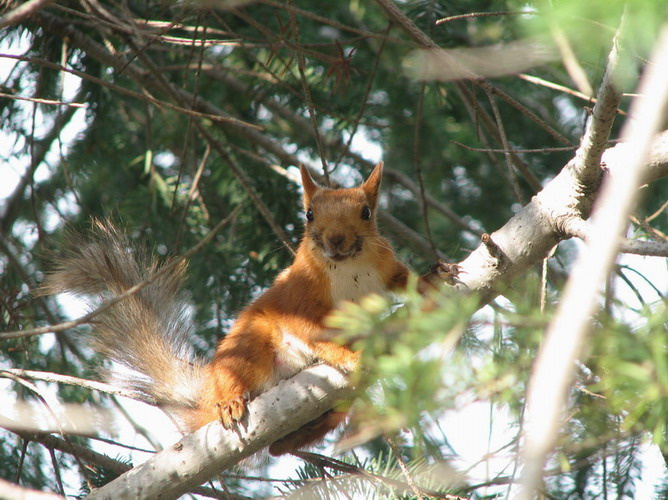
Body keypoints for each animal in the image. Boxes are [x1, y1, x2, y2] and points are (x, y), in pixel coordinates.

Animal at [42, 162, 456, 456]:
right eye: (309, 214)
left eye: (367, 212)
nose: (336, 239)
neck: (347, 267)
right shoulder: (300, 300)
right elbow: (312, 334)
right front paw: (346, 356)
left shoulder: (384, 268)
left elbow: (405, 281)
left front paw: (435, 276)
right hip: (249, 346)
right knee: (241, 378)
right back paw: (230, 401)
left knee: (280, 447)